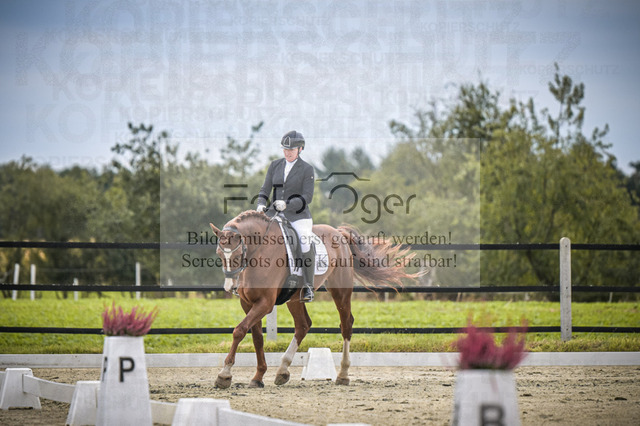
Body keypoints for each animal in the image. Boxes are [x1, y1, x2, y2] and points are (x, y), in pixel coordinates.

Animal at [208, 210, 418, 388]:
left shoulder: (265, 304)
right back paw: (283, 371)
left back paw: (343, 374)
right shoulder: (248, 303)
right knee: (303, 325)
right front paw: (258, 377)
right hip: (294, 299)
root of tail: (339, 233)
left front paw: (224, 375)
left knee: (346, 324)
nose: (230, 287)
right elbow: (256, 337)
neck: (258, 252)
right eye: (219, 253)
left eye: (237, 254)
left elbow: (239, 331)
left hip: (340, 291)